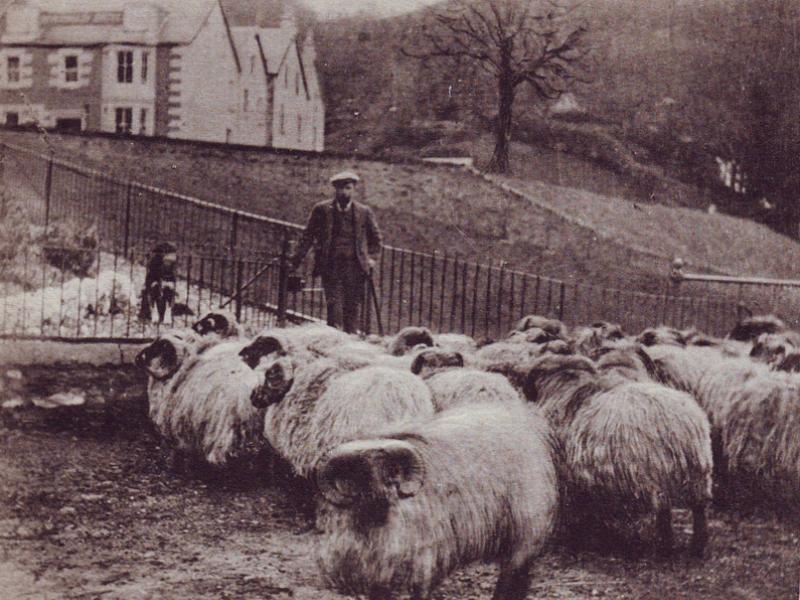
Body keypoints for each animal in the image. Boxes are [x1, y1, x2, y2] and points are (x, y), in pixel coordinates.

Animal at [312, 398, 556, 600]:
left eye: (391, 471)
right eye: (358, 473)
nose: (380, 498)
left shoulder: (424, 564)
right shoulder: (378, 575)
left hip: (526, 532)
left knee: (512, 578)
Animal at [524, 354, 712, 556]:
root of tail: (680, 423)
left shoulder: (573, 479)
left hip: (657, 473)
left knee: (664, 511)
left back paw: (665, 546)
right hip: (698, 474)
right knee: (698, 509)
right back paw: (696, 546)